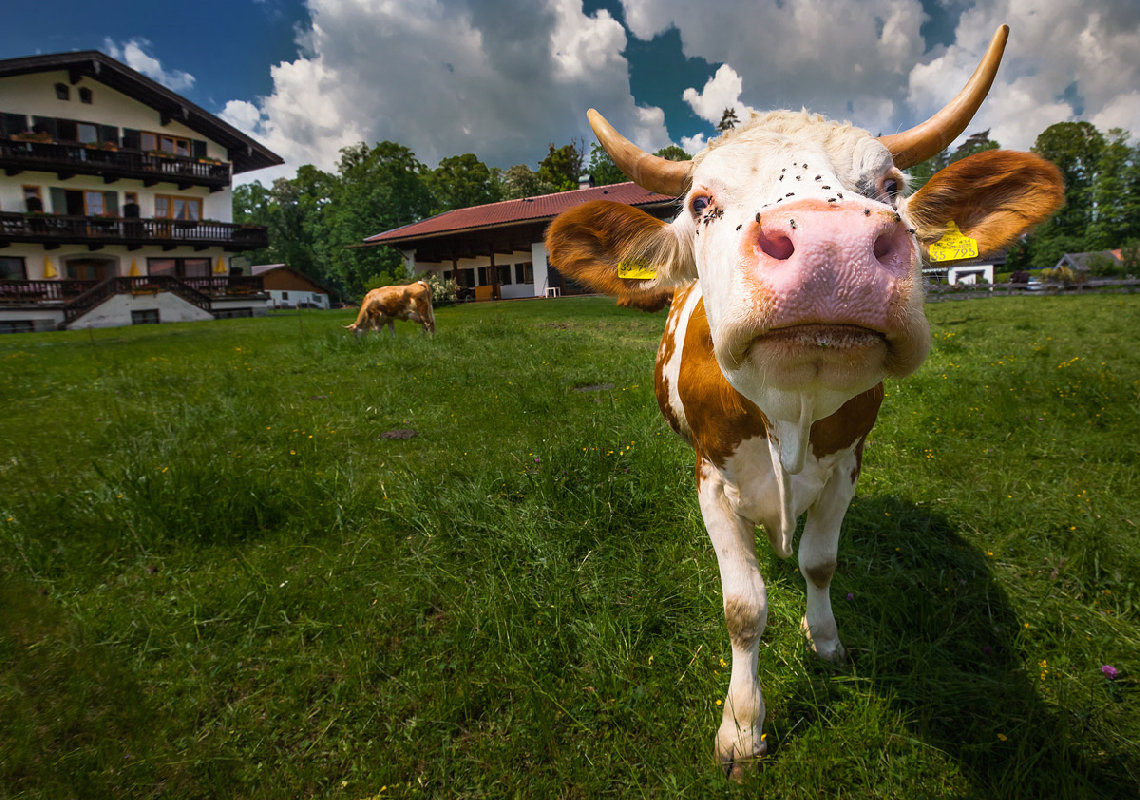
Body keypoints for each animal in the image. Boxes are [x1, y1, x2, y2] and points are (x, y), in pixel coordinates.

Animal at [547, 23, 1062, 774]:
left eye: (890, 185)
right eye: (701, 202)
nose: (833, 247)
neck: (790, 412)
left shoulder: (847, 464)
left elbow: (821, 561)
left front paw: (824, 641)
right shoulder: (711, 479)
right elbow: (743, 607)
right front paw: (742, 724)